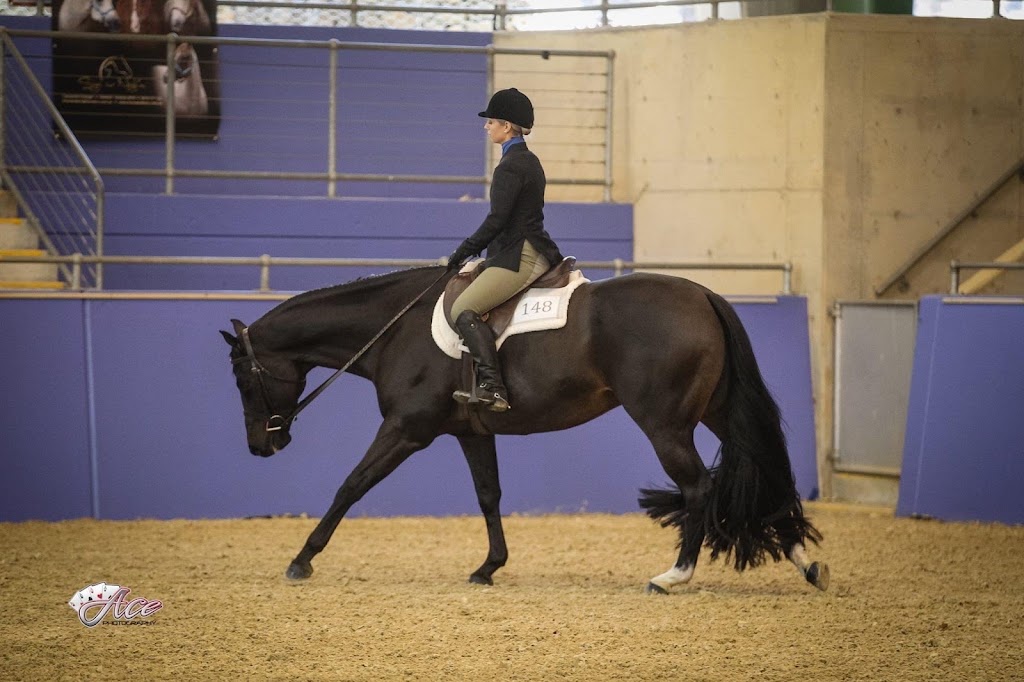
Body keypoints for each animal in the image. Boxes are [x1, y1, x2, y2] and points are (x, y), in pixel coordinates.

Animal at [220, 265, 829, 594]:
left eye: (243, 379)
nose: (261, 445)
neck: (396, 329)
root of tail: (702, 294)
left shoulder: (406, 430)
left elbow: (351, 485)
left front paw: (302, 559)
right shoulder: (470, 431)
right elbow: (489, 495)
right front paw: (489, 568)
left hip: (665, 424)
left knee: (700, 487)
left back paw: (672, 576)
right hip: (716, 411)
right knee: (766, 472)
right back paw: (807, 564)